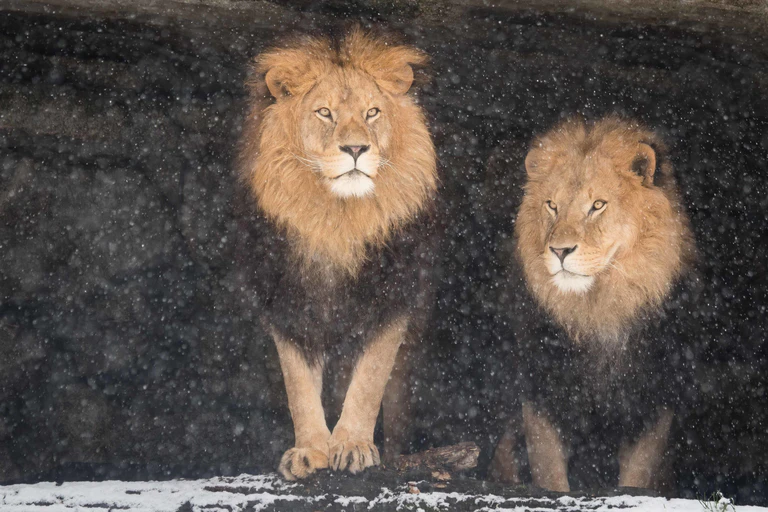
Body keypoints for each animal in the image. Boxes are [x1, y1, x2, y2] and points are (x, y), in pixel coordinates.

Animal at [236, 29, 438, 481]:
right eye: (324, 112)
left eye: (373, 112)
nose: (356, 148)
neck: (338, 223)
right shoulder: (288, 305)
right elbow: (298, 387)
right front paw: (311, 450)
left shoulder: (391, 303)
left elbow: (368, 381)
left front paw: (353, 445)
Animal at [490, 116, 697, 491]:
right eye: (552, 205)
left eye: (597, 205)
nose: (559, 251)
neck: (598, 311)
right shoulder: (542, 395)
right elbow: (549, 474)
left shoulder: (653, 400)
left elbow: (638, 476)